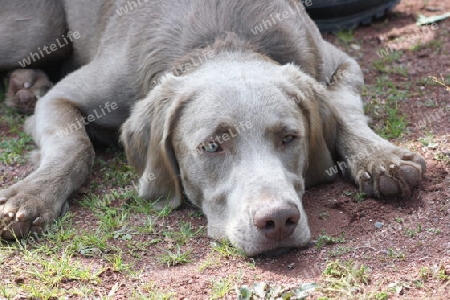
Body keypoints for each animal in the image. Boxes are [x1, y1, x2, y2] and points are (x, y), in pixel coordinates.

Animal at [0, 0, 426, 255]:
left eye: (289, 138)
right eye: (211, 146)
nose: (278, 221)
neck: (223, 39)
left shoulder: (337, 61)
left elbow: (344, 109)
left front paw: (381, 159)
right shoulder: (65, 98)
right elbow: (76, 146)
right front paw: (30, 199)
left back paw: (25, 84)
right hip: (34, 30)